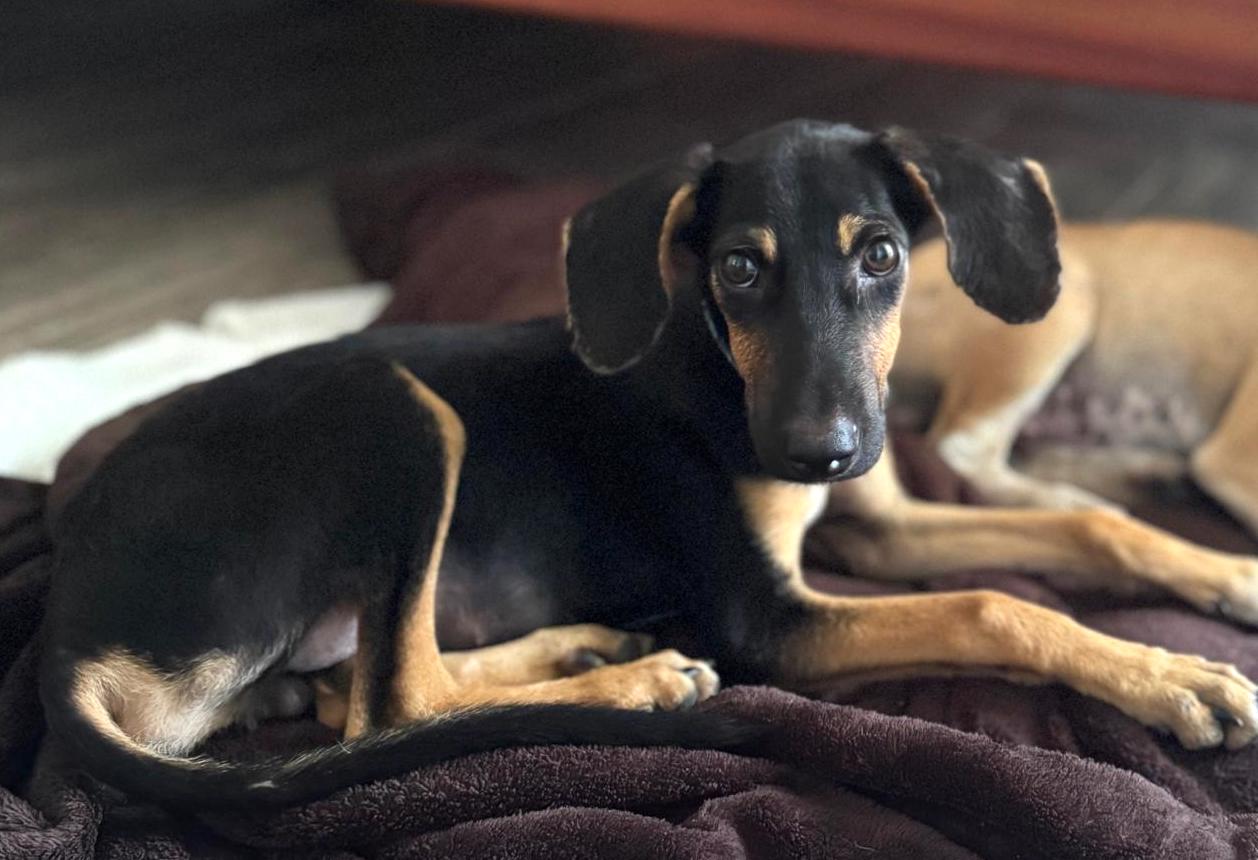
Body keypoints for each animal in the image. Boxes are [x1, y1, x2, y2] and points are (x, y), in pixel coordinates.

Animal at [39, 120, 1258, 814]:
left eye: (881, 256)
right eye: (738, 268)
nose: (819, 448)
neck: (722, 373)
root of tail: (67, 629)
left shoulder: (876, 525)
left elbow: (1085, 528)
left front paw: (1225, 576)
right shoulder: (767, 618)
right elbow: (992, 606)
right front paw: (1177, 678)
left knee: (356, 684)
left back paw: (591, 646)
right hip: (396, 406)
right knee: (390, 698)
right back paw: (635, 682)